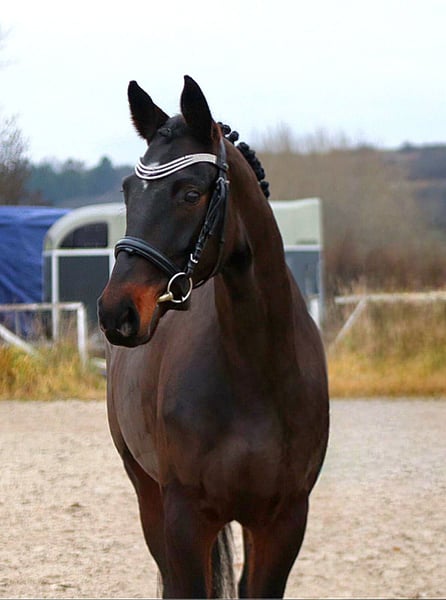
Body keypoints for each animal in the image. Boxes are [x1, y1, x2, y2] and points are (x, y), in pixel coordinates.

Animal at [97, 75, 329, 599]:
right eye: (128, 191)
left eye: (189, 193)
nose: (116, 312)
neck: (257, 370)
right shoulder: (185, 518)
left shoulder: (284, 521)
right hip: (147, 493)